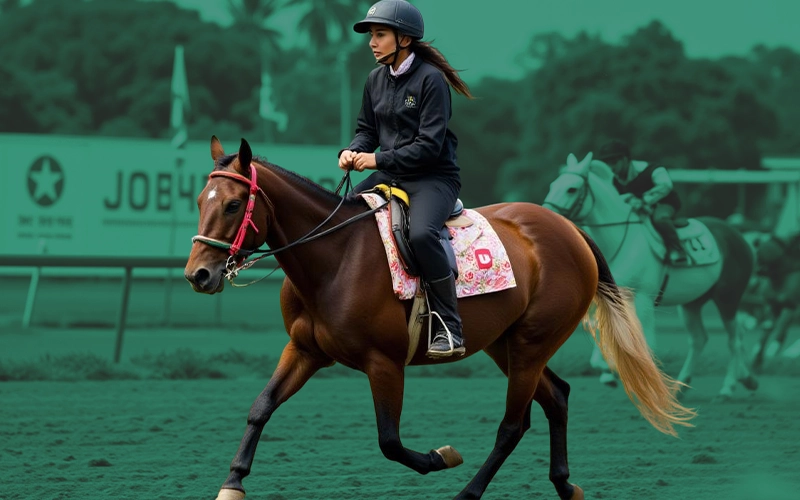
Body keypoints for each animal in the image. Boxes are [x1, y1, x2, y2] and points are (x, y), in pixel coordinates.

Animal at [184, 137, 695, 500]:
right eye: (200, 200)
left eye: (233, 204)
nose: (198, 274)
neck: (336, 257)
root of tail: (569, 230)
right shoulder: (305, 350)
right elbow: (261, 407)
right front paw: (233, 482)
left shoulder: (384, 364)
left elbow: (390, 441)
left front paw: (442, 456)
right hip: (506, 344)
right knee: (557, 397)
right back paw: (565, 485)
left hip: (531, 344)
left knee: (513, 425)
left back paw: (468, 492)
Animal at [542, 153, 758, 399]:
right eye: (553, 185)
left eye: (572, 189)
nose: (544, 216)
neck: (620, 242)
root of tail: (739, 237)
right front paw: (607, 371)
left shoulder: (643, 298)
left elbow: (645, 339)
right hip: (692, 304)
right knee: (700, 339)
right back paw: (687, 385)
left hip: (727, 299)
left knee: (734, 339)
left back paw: (730, 386)